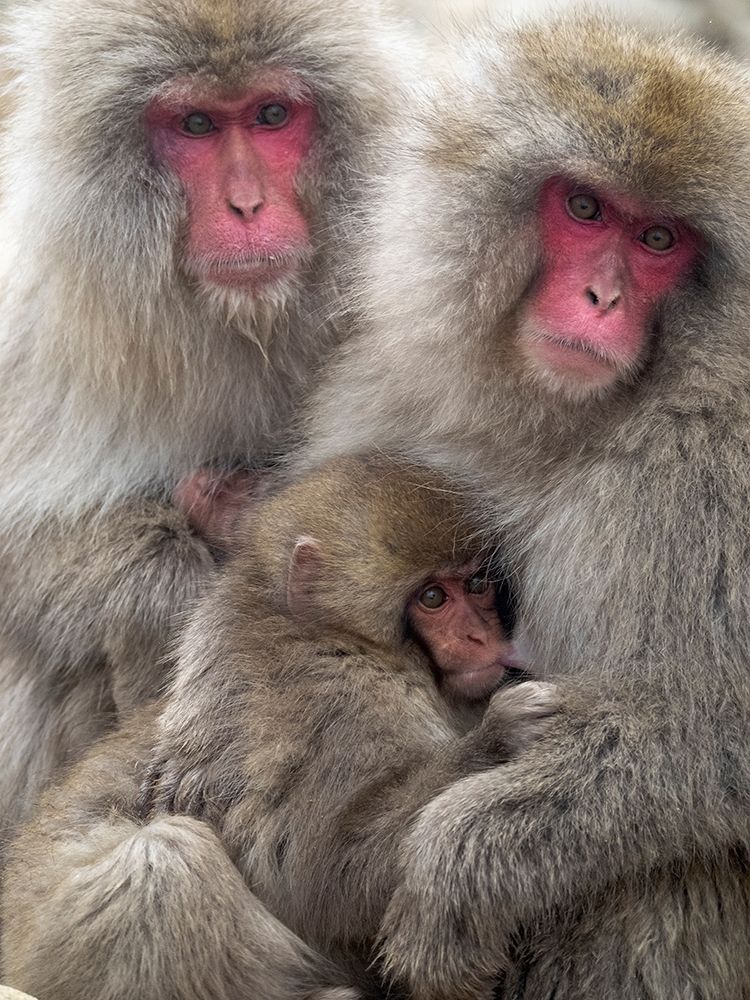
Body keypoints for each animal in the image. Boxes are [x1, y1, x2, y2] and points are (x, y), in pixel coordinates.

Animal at [0, 0, 415, 841]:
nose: (246, 207)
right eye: (195, 124)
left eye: (271, 115)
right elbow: (19, 550)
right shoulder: (37, 309)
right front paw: (170, 598)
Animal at [1, 454, 557, 1000]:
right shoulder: (336, 701)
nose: (481, 636)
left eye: (477, 585)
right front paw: (497, 736)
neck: (333, 633)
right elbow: (323, 878)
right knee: (162, 862)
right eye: (434, 598)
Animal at [300, 13, 750, 1000]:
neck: (561, 418)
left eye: (658, 238)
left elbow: (714, 731)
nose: (601, 297)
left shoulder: (720, 462)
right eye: (583, 208)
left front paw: (457, 867)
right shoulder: (395, 395)